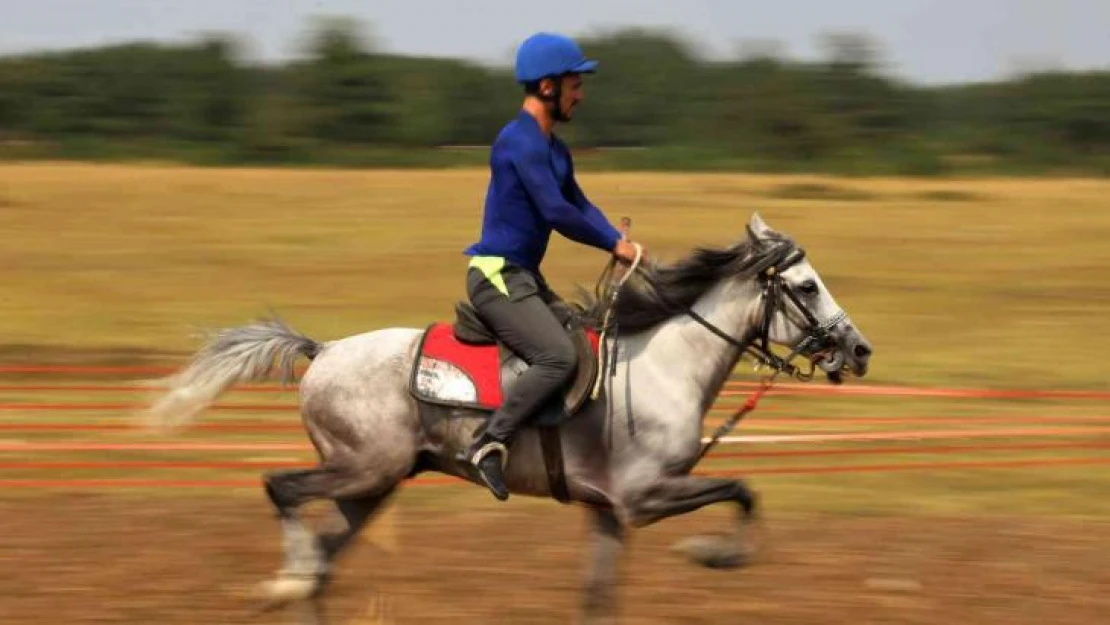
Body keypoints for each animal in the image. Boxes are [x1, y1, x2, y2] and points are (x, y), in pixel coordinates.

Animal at [138, 213, 870, 621]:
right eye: (807, 286)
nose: (859, 350)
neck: (666, 364)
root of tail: (322, 352)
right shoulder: (644, 498)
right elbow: (744, 490)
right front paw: (712, 554)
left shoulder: (608, 512)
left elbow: (597, 598)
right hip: (361, 470)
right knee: (283, 494)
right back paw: (284, 582)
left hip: (369, 487)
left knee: (321, 559)